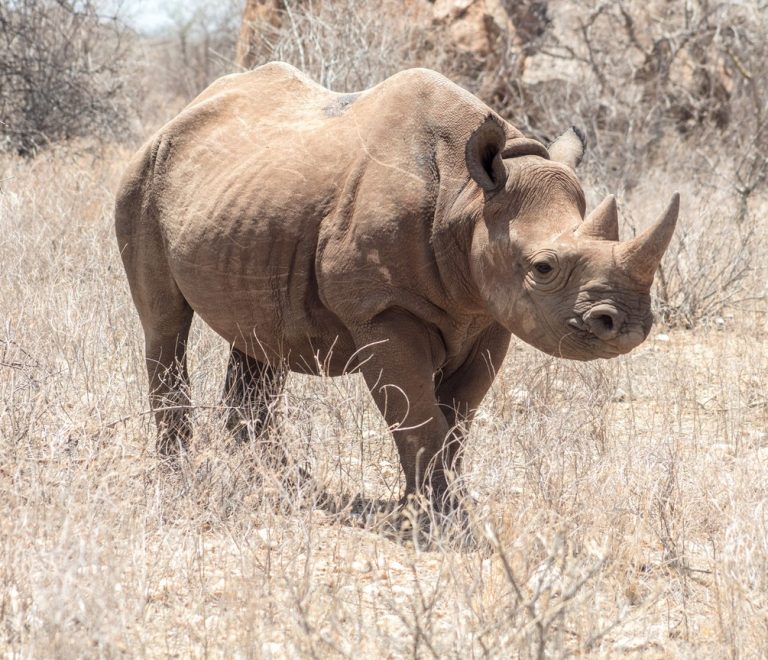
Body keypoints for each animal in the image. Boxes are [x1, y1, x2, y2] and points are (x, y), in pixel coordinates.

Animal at [115, 62, 678, 507]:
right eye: (543, 268)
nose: (628, 324)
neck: (468, 199)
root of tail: (179, 115)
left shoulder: (489, 312)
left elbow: (456, 418)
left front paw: (439, 503)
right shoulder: (382, 309)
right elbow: (417, 415)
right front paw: (437, 518)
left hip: (248, 206)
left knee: (258, 336)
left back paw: (281, 482)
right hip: (142, 178)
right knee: (164, 324)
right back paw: (180, 476)